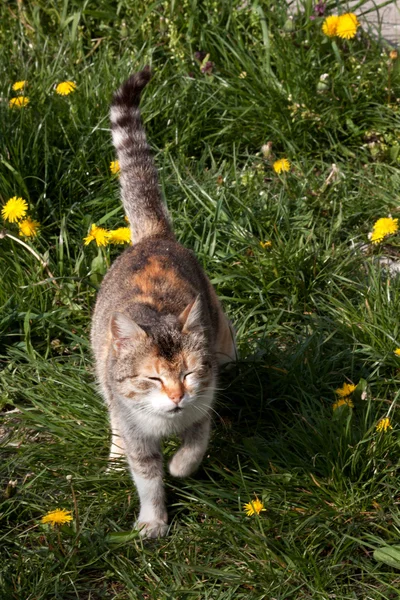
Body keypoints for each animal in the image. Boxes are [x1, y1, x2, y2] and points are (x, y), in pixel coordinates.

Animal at [91, 67, 234, 540]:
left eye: (187, 373)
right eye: (153, 379)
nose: (176, 396)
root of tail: (154, 237)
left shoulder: (204, 402)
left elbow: (196, 443)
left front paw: (181, 466)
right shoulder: (136, 427)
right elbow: (148, 477)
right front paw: (153, 522)